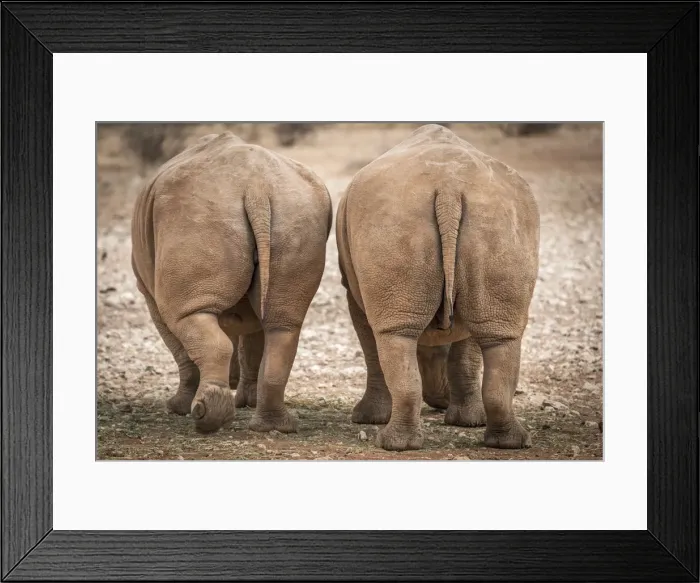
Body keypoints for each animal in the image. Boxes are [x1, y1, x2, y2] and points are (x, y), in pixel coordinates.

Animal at [131, 131, 332, 433]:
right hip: (297, 211)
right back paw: (273, 426)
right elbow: (252, 343)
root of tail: (257, 189)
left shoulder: (150, 295)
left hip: (196, 214)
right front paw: (246, 401)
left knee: (188, 317)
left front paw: (178, 407)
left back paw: (206, 418)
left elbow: (181, 349)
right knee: (282, 326)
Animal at [336, 124, 540, 451]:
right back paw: (508, 443)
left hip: (407, 216)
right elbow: (466, 352)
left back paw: (394, 444)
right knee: (498, 335)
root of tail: (448, 187)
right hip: (498, 219)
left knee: (397, 333)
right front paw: (467, 422)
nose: (439, 401)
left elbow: (374, 348)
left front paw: (367, 419)